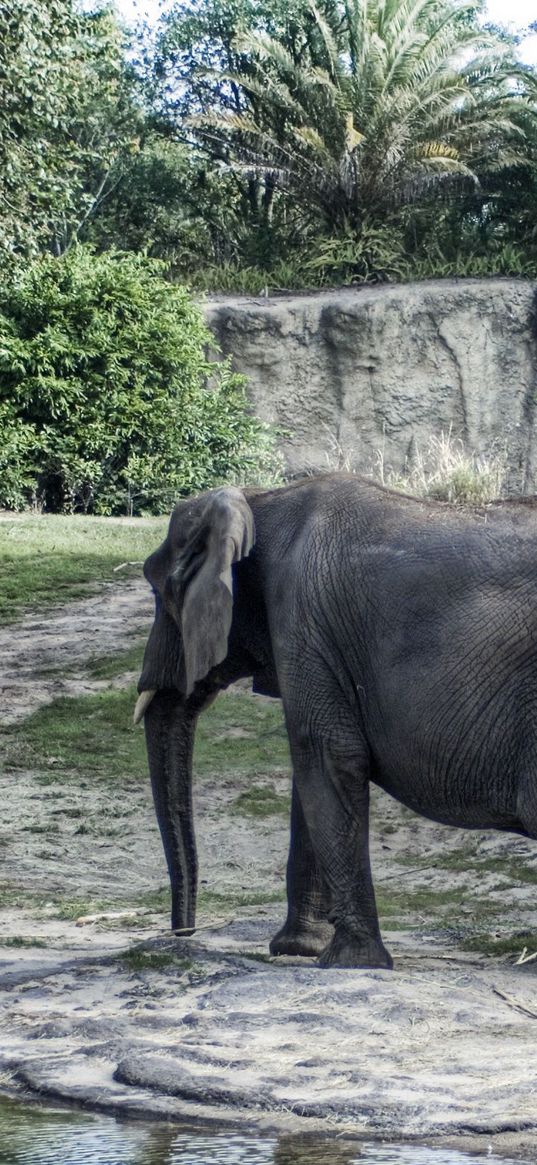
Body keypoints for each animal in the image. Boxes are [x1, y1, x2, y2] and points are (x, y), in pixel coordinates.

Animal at [135, 468, 537, 969]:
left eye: (159, 590)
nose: (184, 934)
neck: (259, 500)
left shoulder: (304, 618)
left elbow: (325, 756)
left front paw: (348, 961)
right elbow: (311, 772)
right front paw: (299, 950)